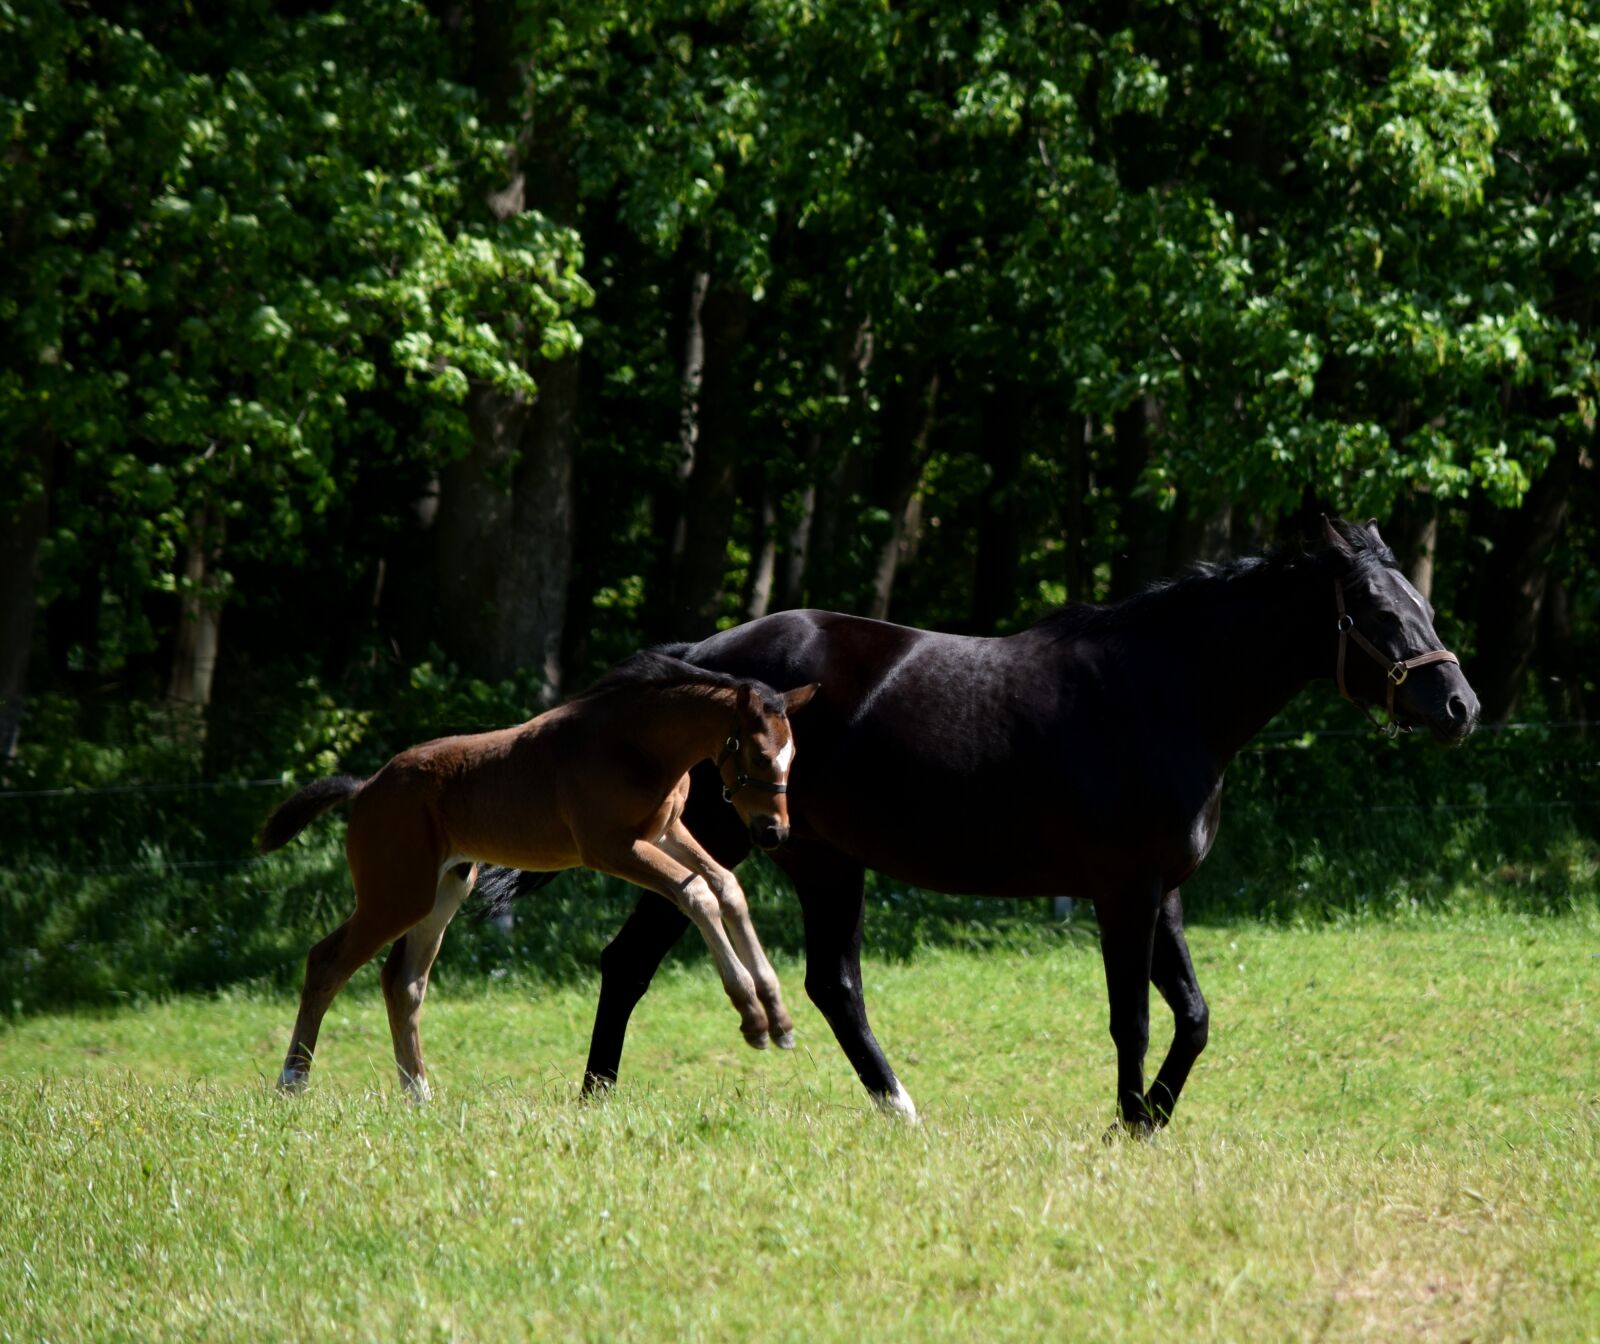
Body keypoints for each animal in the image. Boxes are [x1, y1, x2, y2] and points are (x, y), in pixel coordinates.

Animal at [257, 652, 819, 1099]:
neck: (634, 744)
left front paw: (779, 1017)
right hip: (394, 896)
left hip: (443, 890)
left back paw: (419, 1094)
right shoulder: (613, 848)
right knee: (326, 962)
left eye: (793, 754)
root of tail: (366, 787)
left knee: (403, 982)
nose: (774, 831)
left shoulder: (666, 832)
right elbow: (699, 892)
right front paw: (752, 1017)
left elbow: (727, 887)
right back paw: (293, 1082)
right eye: (759, 753)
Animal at [486, 518, 1479, 1131]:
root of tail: (702, 657)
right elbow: (1133, 1019)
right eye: (1378, 613)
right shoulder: (1122, 892)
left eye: (1426, 606)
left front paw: (1151, 1120)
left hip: (811, 858)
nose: (1460, 706)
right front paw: (1127, 1125)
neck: (1162, 694)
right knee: (657, 965)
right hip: (735, 843)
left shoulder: (1162, 893)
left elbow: (1193, 1016)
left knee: (807, 982)